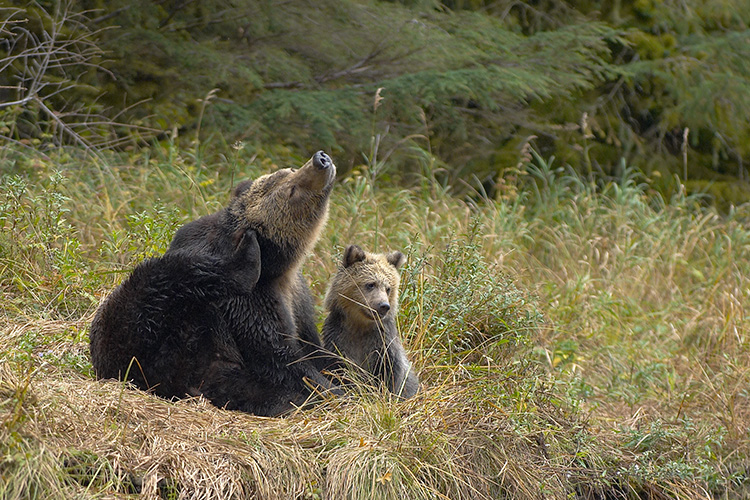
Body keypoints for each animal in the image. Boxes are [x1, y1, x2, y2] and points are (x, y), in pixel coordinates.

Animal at [89, 150, 342, 416]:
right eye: (291, 190)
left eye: (289, 171)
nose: (320, 160)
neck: (282, 268)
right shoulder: (251, 302)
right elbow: (279, 355)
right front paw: (336, 391)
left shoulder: (299, 299)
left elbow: (313, 347)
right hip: (143, 341)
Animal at [320, 245, 420, 398]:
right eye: (371, 284)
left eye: (388, 288)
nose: (384, 306)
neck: (360, 325)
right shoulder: (339, 339)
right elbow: (340, 371)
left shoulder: (382, 343)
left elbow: (390, 376)